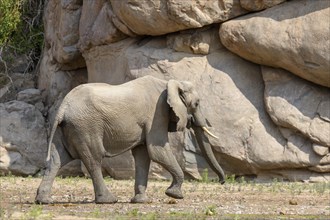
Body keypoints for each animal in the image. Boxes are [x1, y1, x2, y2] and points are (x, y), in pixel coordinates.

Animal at [36, 75, 227, 205]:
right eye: (196, 104)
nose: (222, 181)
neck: (169, 82)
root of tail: (63, 106)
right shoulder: (157, 114)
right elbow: (157, 151)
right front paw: (175, 195)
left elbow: (143, 155)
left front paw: (141, 201)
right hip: (86, 126)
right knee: (94, 159)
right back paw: (108, 200)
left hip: (68, 127)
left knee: (57, 159)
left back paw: (43, 200)